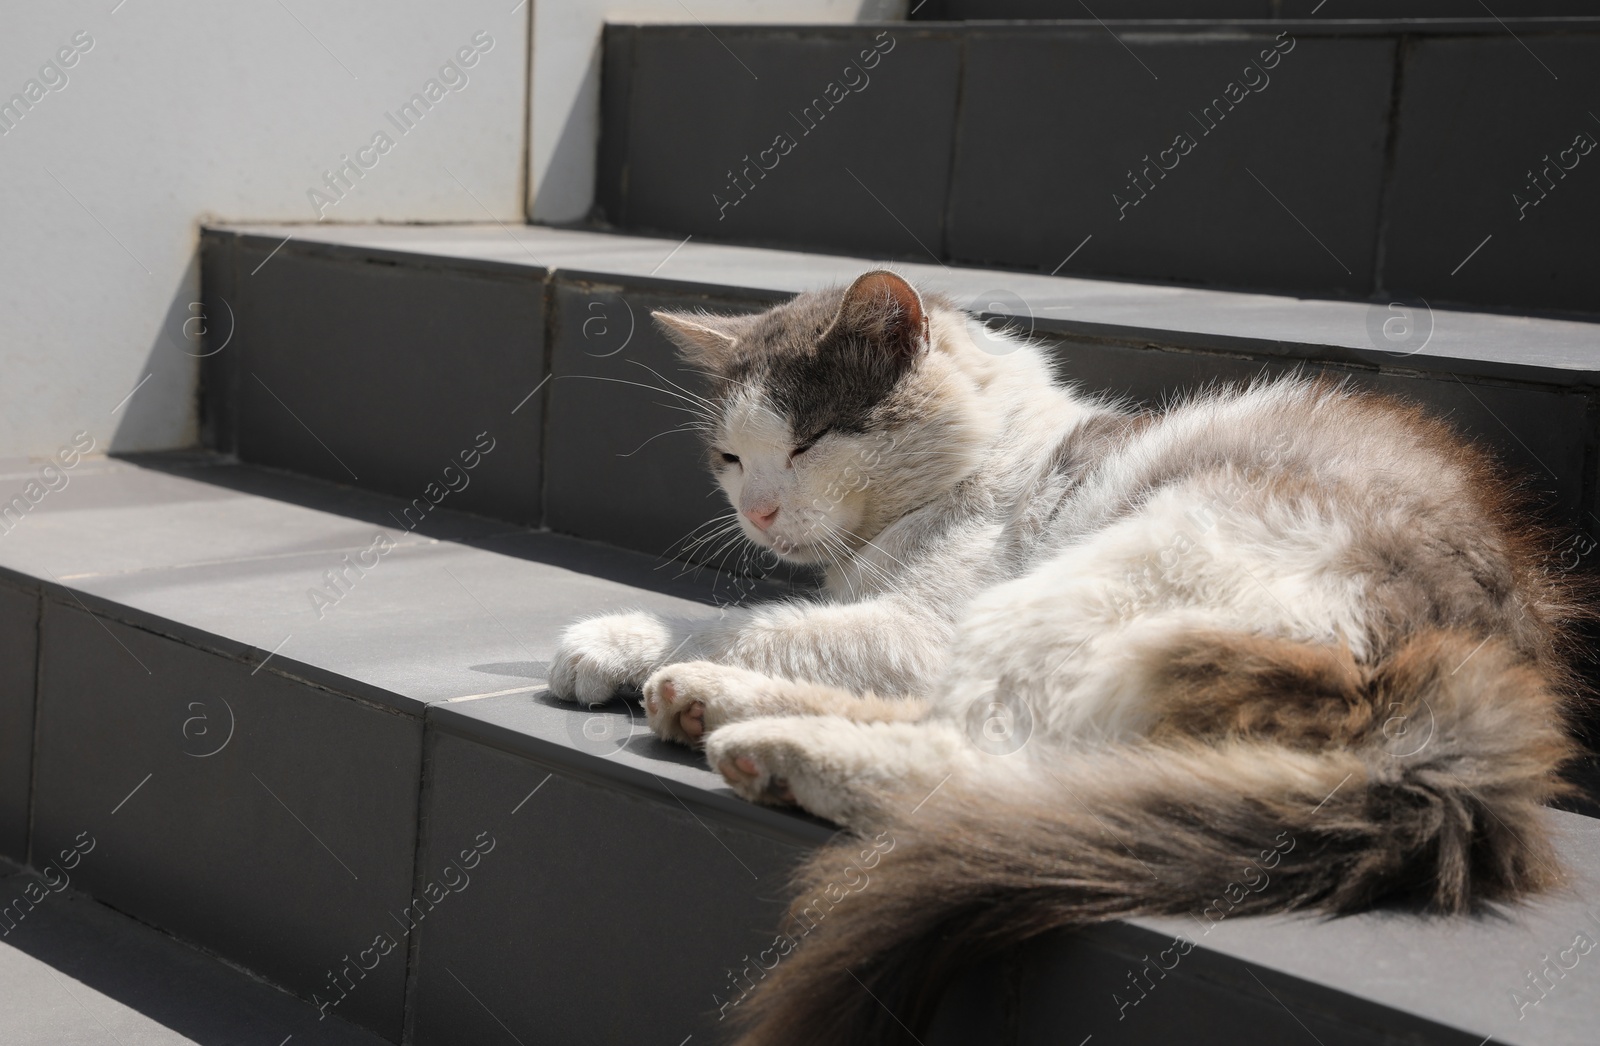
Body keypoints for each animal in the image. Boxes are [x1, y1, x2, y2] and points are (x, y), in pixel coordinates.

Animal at [547, 271, 1587, 1046]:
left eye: (809, 441)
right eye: (729, 457)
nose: (756, 511)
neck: (985, 460)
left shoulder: (925, 624)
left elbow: (745, 618)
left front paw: (614, 639)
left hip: (1122, 577)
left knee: (986, 763)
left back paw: (754, 736)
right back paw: (714, 709)